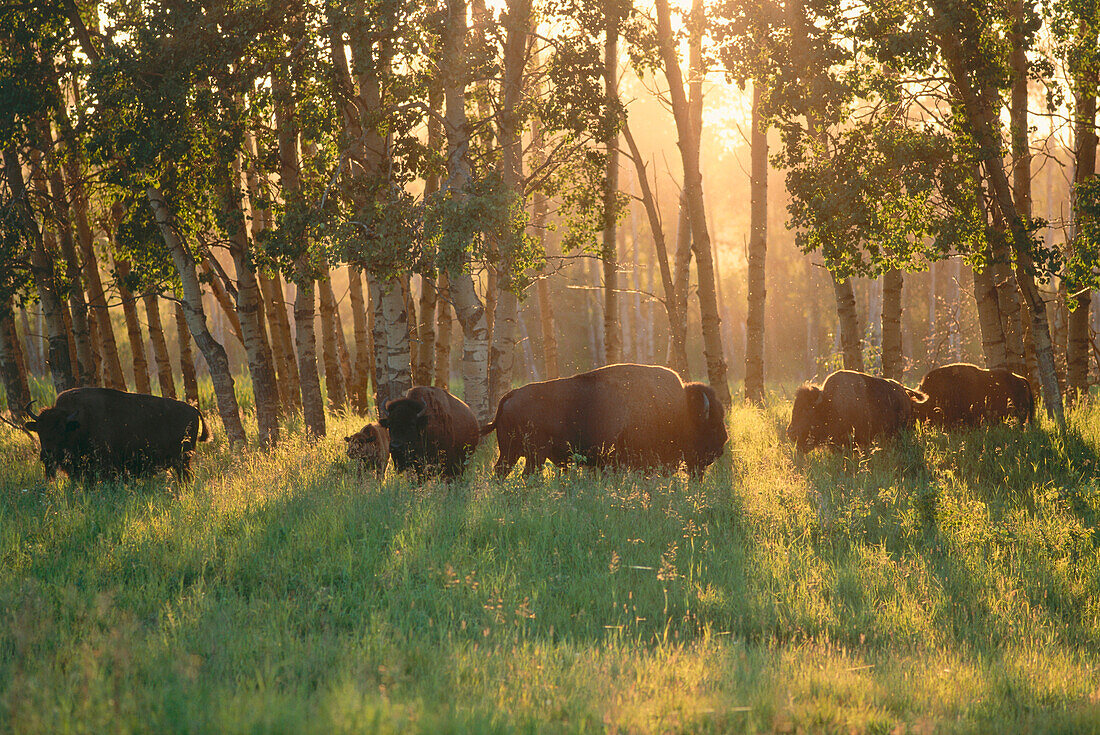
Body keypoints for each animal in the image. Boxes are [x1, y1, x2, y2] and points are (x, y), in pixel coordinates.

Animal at [24, 385, 210, 481]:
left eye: (61, 430)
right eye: (39, 430)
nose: (46, 455)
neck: (79, 423)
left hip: (182, 460)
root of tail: (193, 409)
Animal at [484, 360, 730, 477]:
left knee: (500, 473)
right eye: (711, 425)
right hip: (534, 456)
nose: (721, 446)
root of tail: (511, 395)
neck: (681, 410)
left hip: (510, 452)